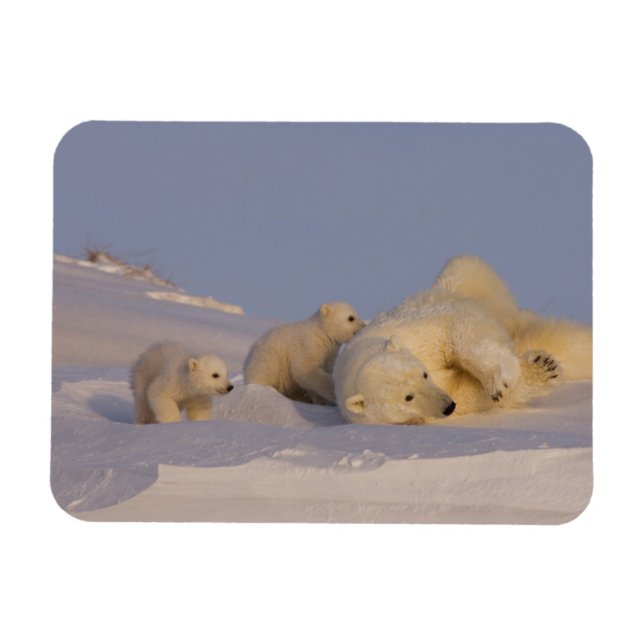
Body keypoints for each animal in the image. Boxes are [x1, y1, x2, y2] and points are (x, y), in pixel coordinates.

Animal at [333, 255, 592, 425]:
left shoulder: (414, 330)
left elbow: (457, 329)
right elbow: (468, 393)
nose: (447, 406)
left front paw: (502, 381)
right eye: (408, 397)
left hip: (468, 284)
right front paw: (543, 369)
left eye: (423, 374)